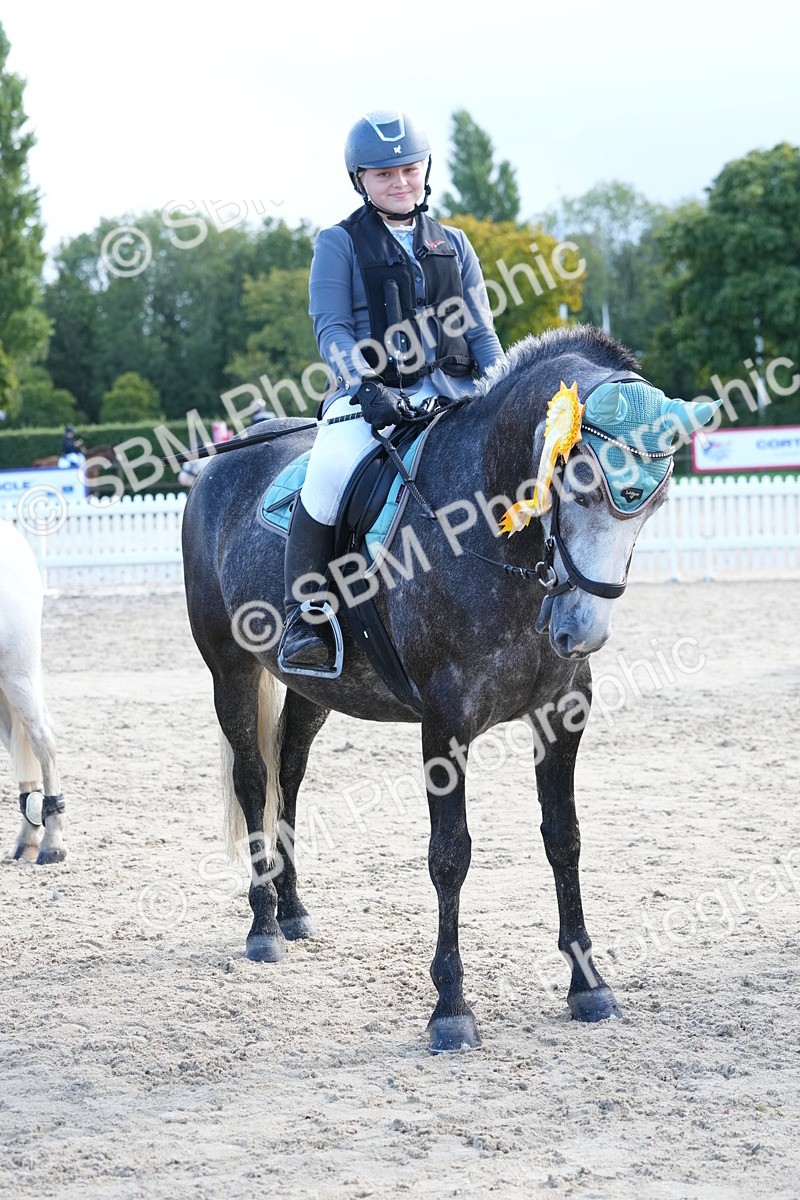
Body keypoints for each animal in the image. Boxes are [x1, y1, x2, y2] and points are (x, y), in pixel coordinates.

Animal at [180, 325, 717, 1052]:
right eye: (577, 485)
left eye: (653, 503)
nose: (579, 633)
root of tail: (225, 459)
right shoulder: (445, 723)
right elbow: (450, 855)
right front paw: (451, 1008)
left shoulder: (563, 715)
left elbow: (564, 836)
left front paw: (588, 984)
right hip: (231, 669)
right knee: (253, 779)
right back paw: (263, 924)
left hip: (314, 688)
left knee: (288, 772)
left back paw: (292, 909)